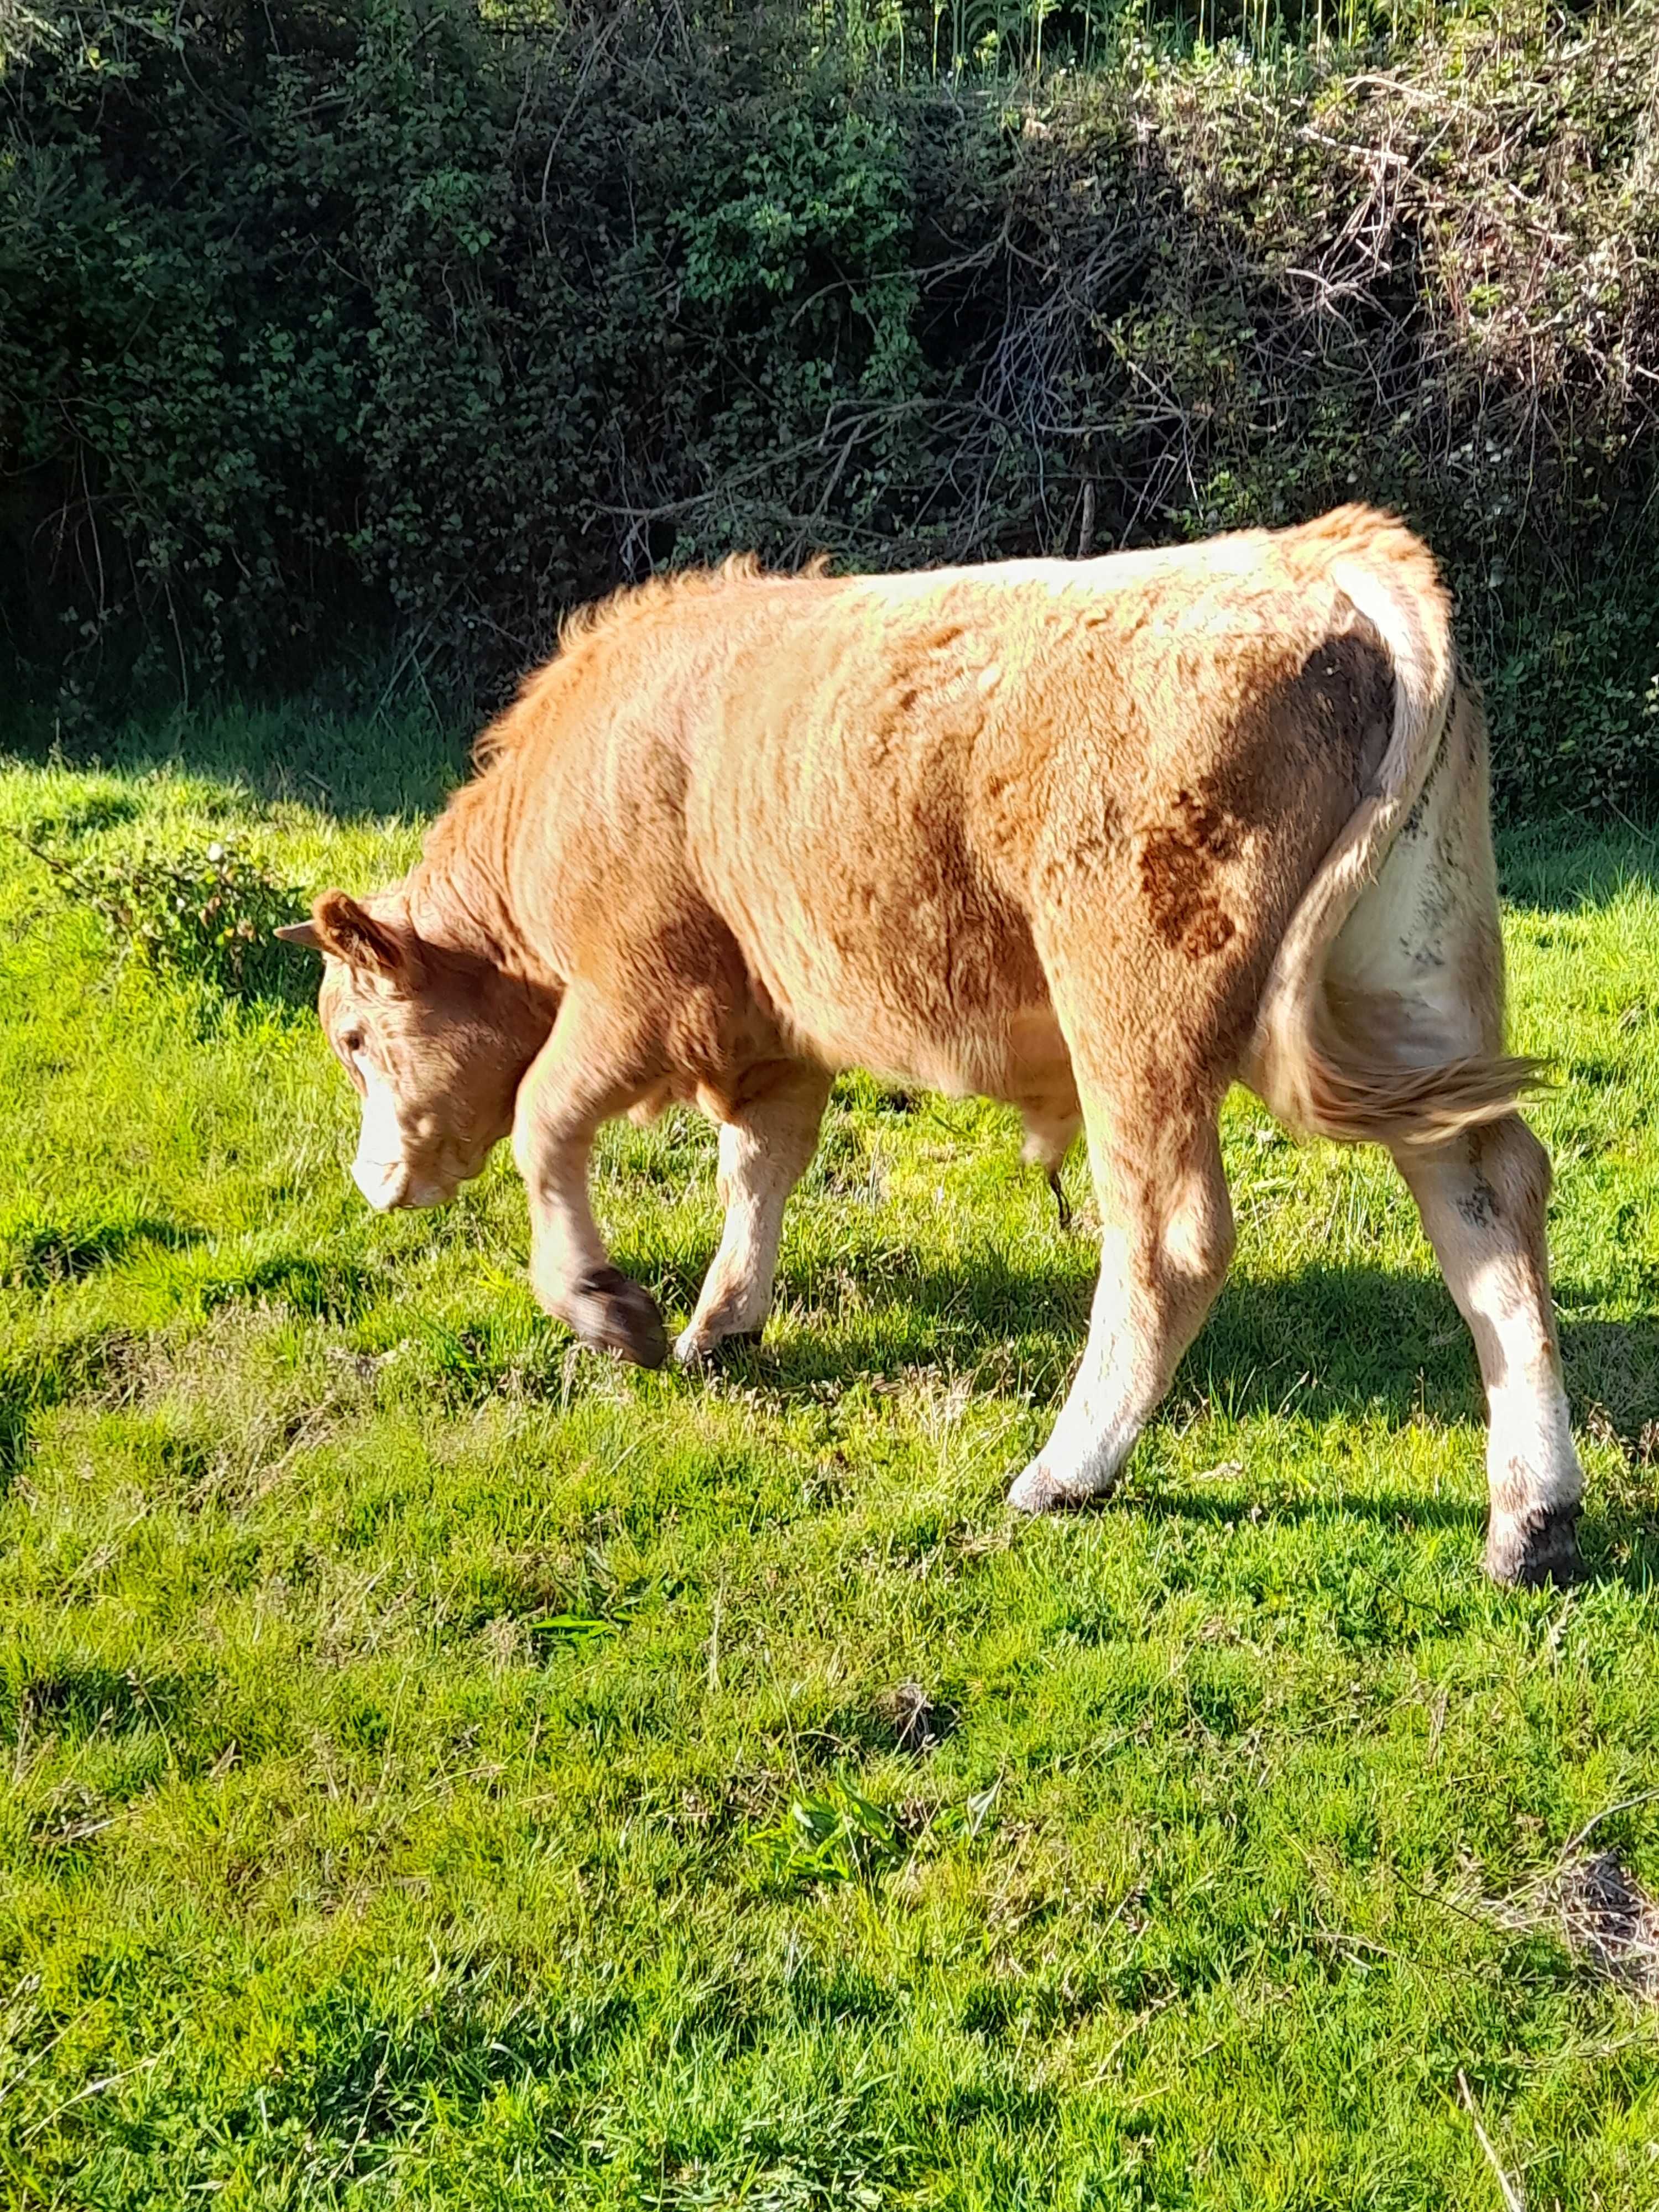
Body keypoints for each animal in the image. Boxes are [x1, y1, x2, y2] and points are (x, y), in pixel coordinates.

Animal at [280, 509, 1593, 1584]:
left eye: (352, 1035)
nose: (370, 1181)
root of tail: (1324, 553)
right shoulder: (769, 1027)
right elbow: (758, 1170)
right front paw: (721, 1322)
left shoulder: (638, 994)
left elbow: (546, 1120)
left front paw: (608, 1308)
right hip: (1414, 990)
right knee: (1489, 1197)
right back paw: (1532, 1516)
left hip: (1136, 1017)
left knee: (1170, 1237)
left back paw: (1068, 1470)